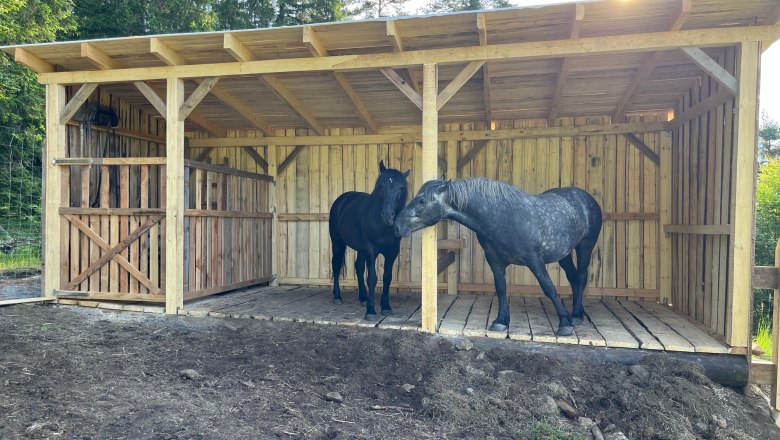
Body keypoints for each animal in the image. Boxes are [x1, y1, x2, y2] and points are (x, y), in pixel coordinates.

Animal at [329, 160, 410, 320]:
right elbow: (372, 278)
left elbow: (387, 277)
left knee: (358, 267)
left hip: (361, 249)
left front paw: (386, 306)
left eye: (401, 188)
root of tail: (341, 201)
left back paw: (363, 298)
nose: (387, 216)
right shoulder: (371, 250)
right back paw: (338, 296)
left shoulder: (392, 252)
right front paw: (371, 311)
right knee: (336, 265)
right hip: (338, 243)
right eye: (381, 186)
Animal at [393, 177, 602, 336]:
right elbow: (501, 289)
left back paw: (575, 316)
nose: (397, 225)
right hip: (564, 254)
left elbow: (549, 288)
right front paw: (501, 321)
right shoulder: (495, 262)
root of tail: (586, 198)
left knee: (581, 277)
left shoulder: (535, 261)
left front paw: (564, 324)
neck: (502, 217)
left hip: (585, 246)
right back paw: (577, 313)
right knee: (573, 278)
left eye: (422, 201)